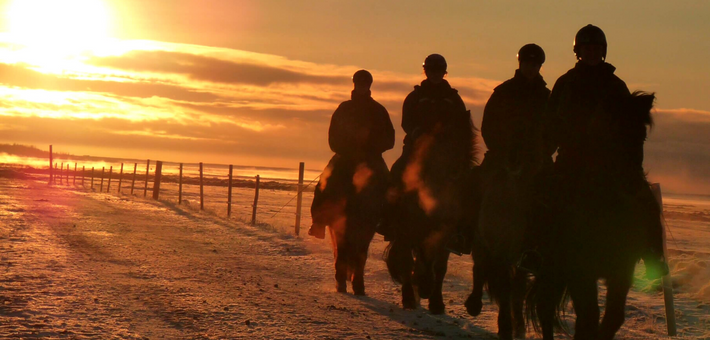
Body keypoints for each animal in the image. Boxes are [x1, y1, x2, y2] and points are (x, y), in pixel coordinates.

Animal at [384, 110, 478, 314]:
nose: (455, 171)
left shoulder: (445, 234)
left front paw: (435, 301)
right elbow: (407, 261)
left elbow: (440, 267)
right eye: (442, 145)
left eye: (464, 145)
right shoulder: (407, 231)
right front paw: (414, 294)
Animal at [528, 91, 660, 338]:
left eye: (642, 136)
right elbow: (589, 317)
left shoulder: (621, 271)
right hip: (551, 268)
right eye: (611, 134)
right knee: (545, 308)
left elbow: (611, 319)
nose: (633, 188)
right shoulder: (580, 272)